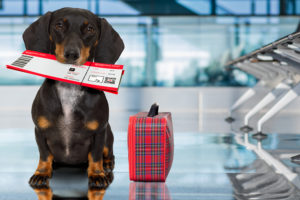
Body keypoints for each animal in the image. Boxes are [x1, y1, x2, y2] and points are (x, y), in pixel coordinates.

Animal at [22, 7, 124, 193]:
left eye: (90, 29)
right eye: (59, 25)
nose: (71, 54)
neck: (69, 88)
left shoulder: (99, 131)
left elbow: (95, 155)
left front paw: (97, 175)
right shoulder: (40, 129)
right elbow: (44, 154)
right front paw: (42, 172)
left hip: (109, 134)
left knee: (108, 153)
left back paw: (107, 164)